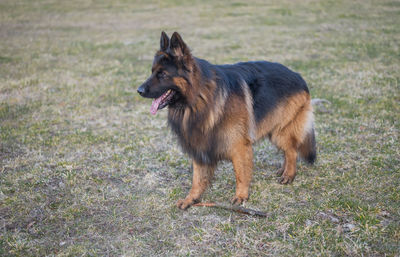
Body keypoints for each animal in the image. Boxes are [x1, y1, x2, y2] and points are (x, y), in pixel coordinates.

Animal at [138, 31, 316, 208]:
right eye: (152, 72)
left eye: (162, 74)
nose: (139, 90)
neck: (198, 98)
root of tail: (298, 75)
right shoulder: (200, 143)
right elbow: (197, 178)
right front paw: (191, 198)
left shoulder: (239, 146)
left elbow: (241, 174)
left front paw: (241, 196)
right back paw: (283, 170)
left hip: (280, 131)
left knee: (292, 150)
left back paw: (289, 174)